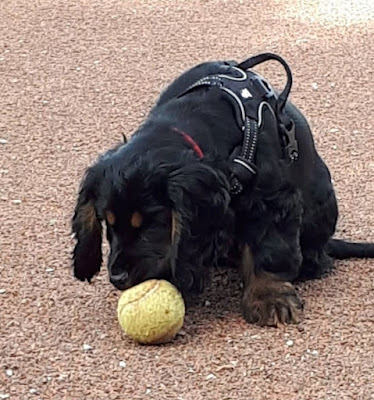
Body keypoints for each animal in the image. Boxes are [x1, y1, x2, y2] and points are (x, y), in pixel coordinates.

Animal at [71, 54, 374, 328]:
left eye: (151, 225)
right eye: (107, 223)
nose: (117, 278)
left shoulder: (270, 199)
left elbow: (269, 248)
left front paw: (269, 296)